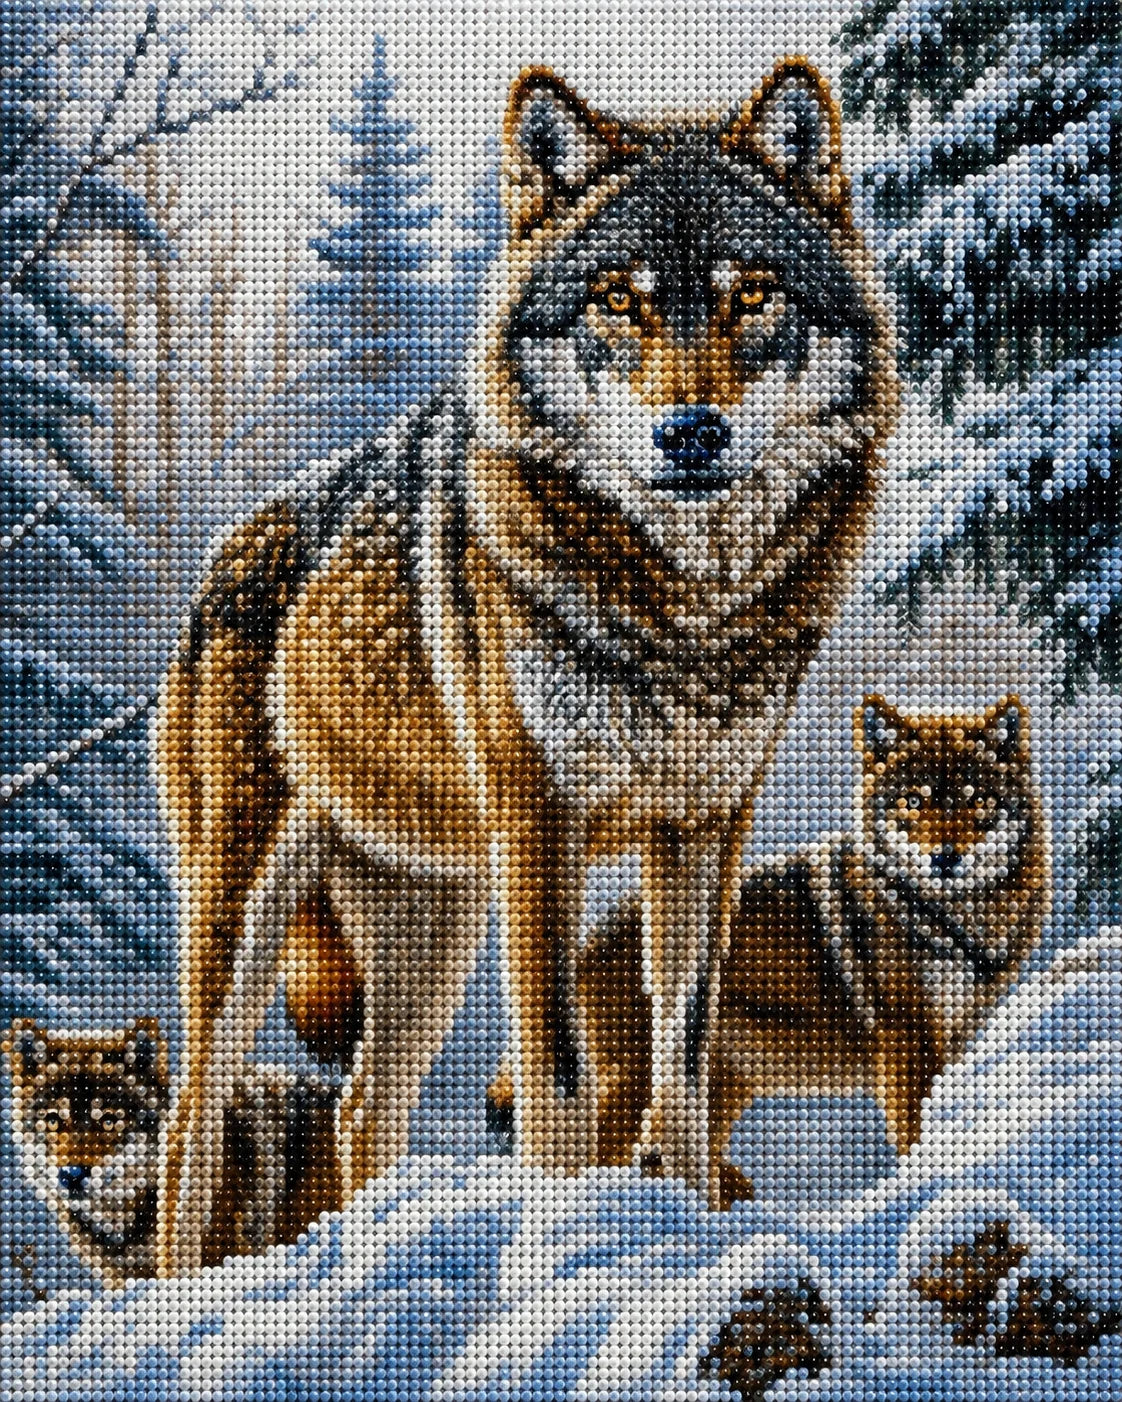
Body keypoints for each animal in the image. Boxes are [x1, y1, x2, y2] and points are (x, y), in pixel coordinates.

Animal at [156, 57, 896, 1268]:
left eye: (750, 298)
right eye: (619, 302)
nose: (691, 432)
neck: (683, 612)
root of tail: (229, 548)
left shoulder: (706, 824)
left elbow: (681, 1062)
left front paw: (684, 1224)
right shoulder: (542, 824)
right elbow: (559, 1073)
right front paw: (564, 1229)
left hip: (437, 926)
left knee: (363, 1108)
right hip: (253, 914)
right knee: (191, 1123)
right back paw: (178, 1292)